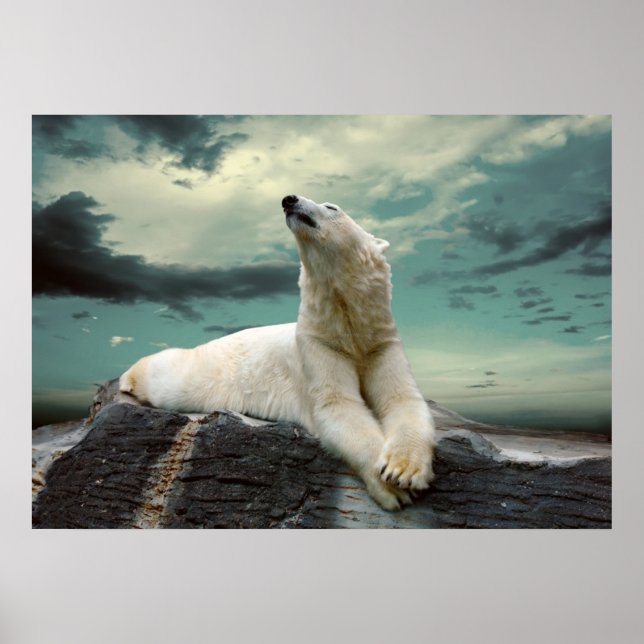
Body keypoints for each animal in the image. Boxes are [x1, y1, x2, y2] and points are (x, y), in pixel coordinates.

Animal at [119, 195, 436, 510]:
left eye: (332, 207)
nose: (289, 200)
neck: (347, 326)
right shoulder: (318, 345)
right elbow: (338, 406)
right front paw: (392, 487)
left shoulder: (380, 342)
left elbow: (402, 398)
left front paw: (403, 470)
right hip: (204, 371)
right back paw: (128, 378)